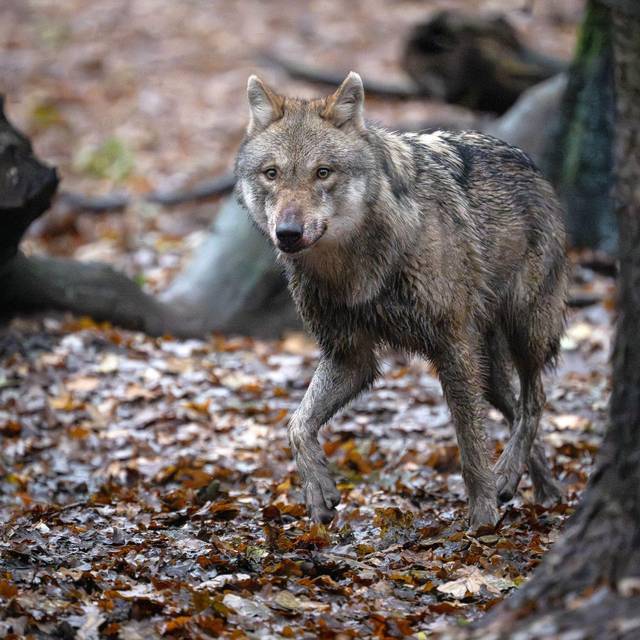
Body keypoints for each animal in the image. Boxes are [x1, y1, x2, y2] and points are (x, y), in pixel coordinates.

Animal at [234, 72, 567, 529]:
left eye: (322, 173)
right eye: (271, 173)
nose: (287, 233)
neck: (354, 270)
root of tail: (532, 165)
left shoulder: (451, 346)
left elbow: (470, 445)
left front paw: (482, 518)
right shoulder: (349, 356)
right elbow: (297, 425)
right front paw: (318, 490)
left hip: (524, 331)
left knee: (535, 401)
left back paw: (509, 478)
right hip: (488, 368)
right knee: (517, 409)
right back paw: (538, 487)